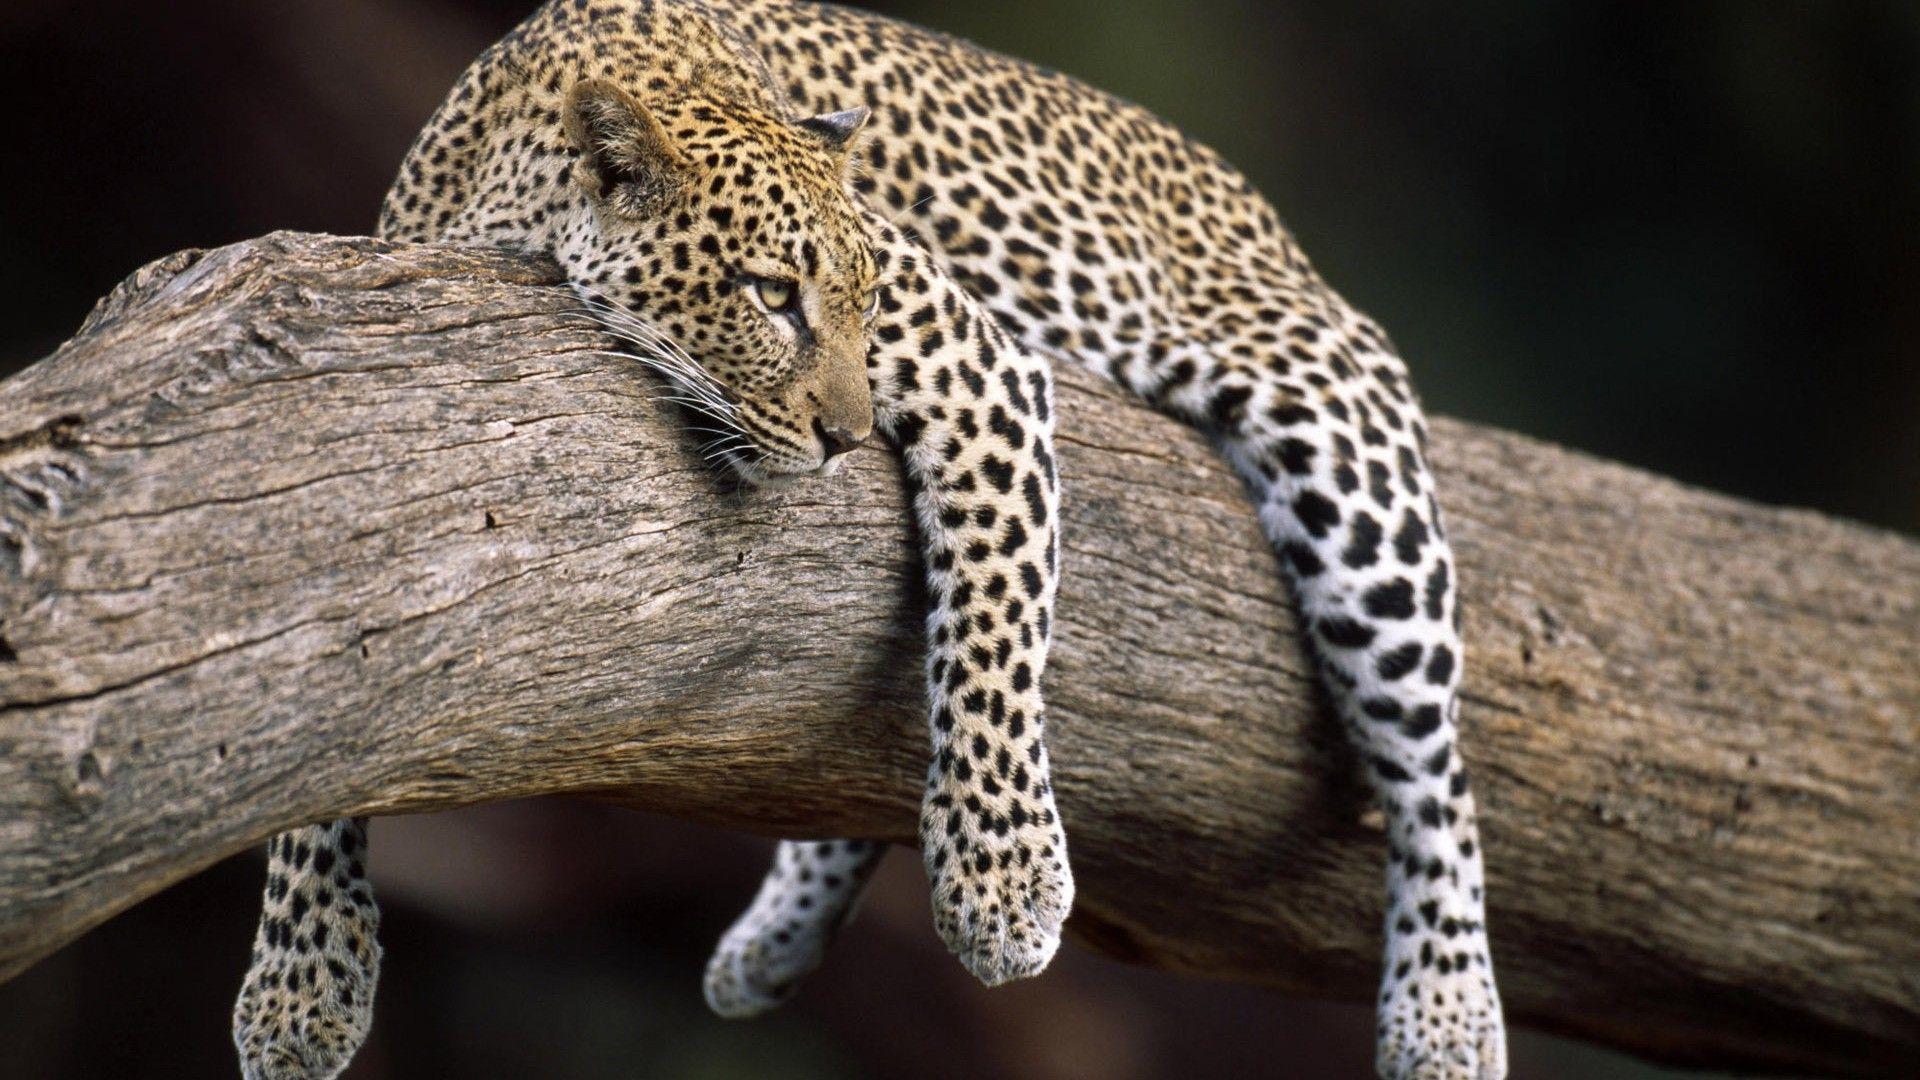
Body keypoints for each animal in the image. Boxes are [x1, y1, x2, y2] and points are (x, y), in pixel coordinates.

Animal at [231, 2, 1507, 1078]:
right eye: (770, 297)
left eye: (868, 301)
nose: (847, 438)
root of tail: (1256, 207)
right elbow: (323, 714)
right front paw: (302, 984)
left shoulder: (984, 366)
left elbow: (992, 620)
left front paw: (1003, 882)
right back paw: (772, 943)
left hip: (1344, 455)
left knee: (1434, 769)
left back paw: (1448, 1016)